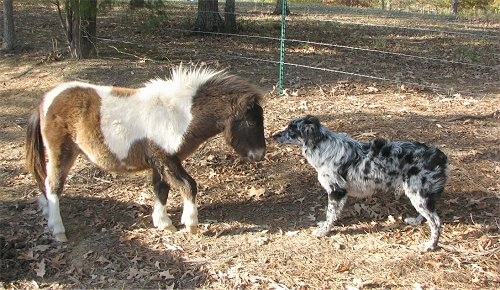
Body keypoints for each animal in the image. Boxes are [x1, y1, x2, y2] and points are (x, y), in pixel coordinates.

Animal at [24, 64, 266, 241]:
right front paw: (191, 224)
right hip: (61, 152)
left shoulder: (160, 162)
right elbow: (189, 185)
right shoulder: (165, 159)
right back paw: (58, 230)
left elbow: (161, 189)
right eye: (252, 121)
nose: (260, 154)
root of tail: (45, 100)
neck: (178, 114)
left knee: (46, 183)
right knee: (53, 186)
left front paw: (164, 224)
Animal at [274, 114, 450, 250]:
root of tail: (440, 156)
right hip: (419, 195)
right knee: (429, 215)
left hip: (417, 193)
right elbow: (333, 214)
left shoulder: (337, 191)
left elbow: (330, 213)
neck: (322, 146)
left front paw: (324, 231)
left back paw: (430, 246)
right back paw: (416, 221)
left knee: (436, 222)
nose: (273, 136)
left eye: (291, 130)